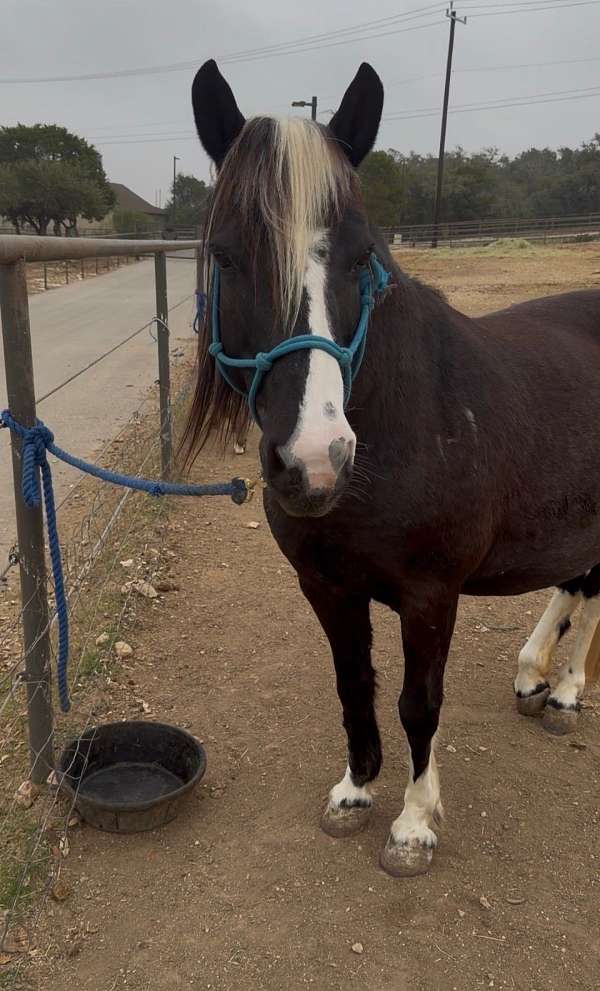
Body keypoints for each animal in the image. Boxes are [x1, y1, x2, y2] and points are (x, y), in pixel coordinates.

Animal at [185, 59, 600, 877]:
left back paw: (567, 691)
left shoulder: (430, 595)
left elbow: (419, 703)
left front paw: (414, 822)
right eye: (225, 254)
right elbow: (354, 685)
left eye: (361, 257)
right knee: (576, 579)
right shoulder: (326, 586)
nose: (315, 460)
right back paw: (533, 671)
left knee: (594, 590)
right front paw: (355, 790)